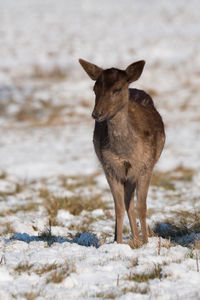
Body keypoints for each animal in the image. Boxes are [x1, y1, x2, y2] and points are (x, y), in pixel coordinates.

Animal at [79, 58, 165, 244]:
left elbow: (142, 206)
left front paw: (146, 243)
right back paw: (134, 239)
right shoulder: (110, 167)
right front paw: (118, 243)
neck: (125, 152)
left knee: (131, 202)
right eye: (95, 89)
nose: (97, 114)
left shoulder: (145, 166)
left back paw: (138, 239)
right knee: (127, 202)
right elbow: (118, 206)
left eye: (117, 89)